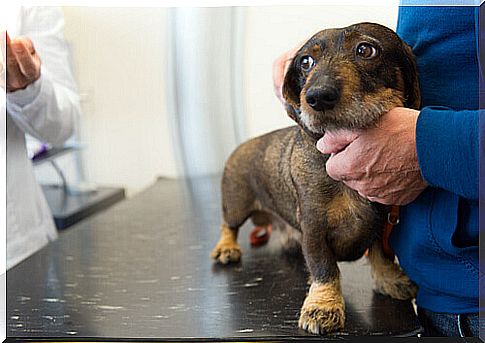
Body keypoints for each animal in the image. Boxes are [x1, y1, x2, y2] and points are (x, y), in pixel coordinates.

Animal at [210, 22, 418, 334]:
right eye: (306, 62)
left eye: (365, 50)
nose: (317, 97)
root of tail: (242, 146)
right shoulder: (314, 228)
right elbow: (324, 269)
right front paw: (323, 306)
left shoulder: (381, 223)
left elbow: (381, 255)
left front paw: (390, 279)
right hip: (235, 204)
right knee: (228, 225)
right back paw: (226, 248)